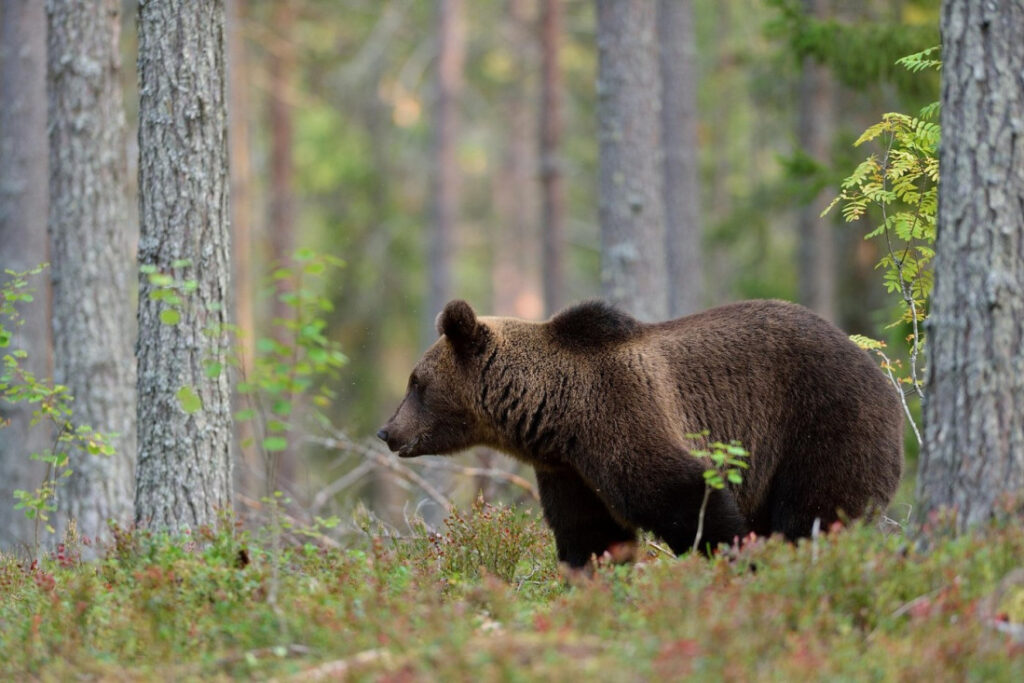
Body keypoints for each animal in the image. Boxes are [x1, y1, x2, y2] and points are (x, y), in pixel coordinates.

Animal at [378, 296, 905, 569]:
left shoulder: (623, 415)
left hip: (823, 423)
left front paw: (734, 559)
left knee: (816, 512)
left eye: (416, 382)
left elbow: (685, 497)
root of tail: (881, 374)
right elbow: (590, 535)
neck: (556, 415)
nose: (386, 430)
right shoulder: (570, 472)